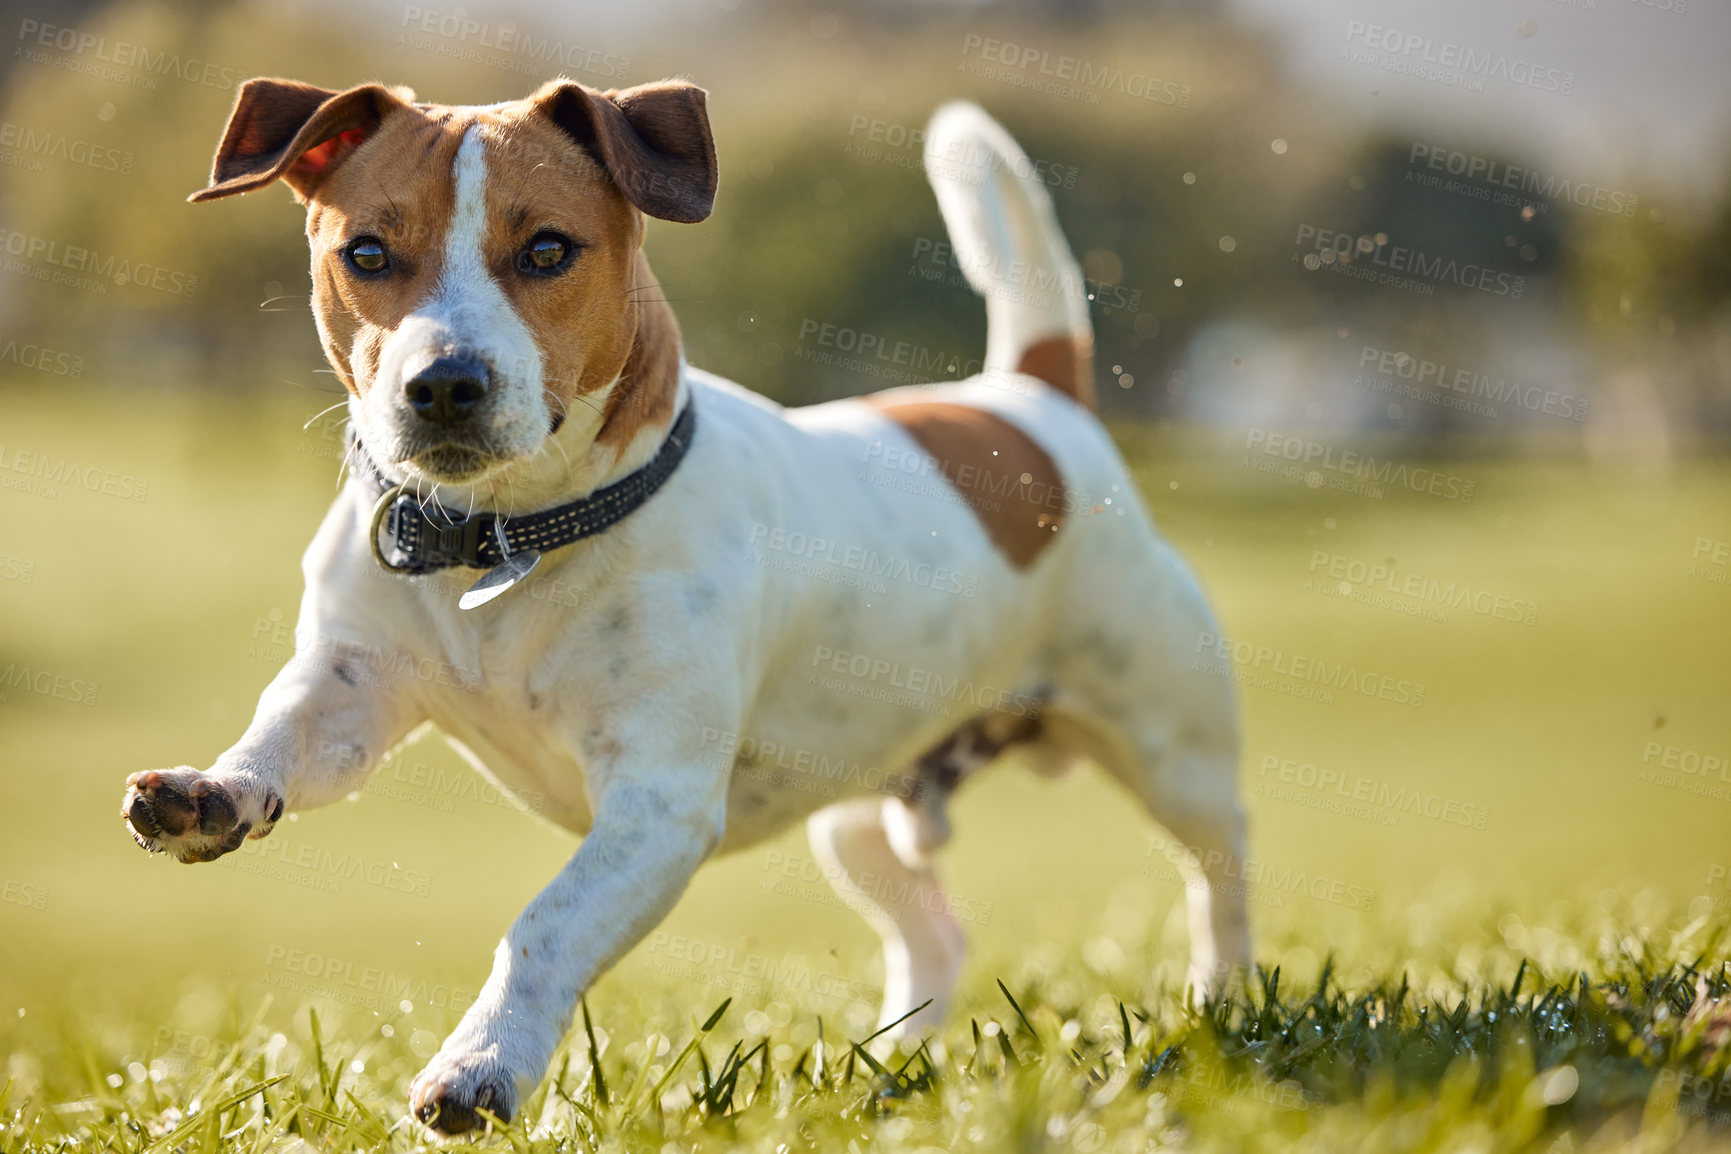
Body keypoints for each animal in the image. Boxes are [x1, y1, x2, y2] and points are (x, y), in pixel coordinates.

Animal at [122, 74, 1253, 1134]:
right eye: (365, 252)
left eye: (546, 249)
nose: (442, 384)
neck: (501, 544)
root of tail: (1027, 400)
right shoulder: (351, 685)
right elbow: (282, 730)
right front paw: (213, 790)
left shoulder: (656, 799)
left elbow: (547, 921)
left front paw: (480, 1063)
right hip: (855, 811)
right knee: (935, 933)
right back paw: (893, 1065)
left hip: (1172, 748)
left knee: (1218, 869)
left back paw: (1227, 1007)